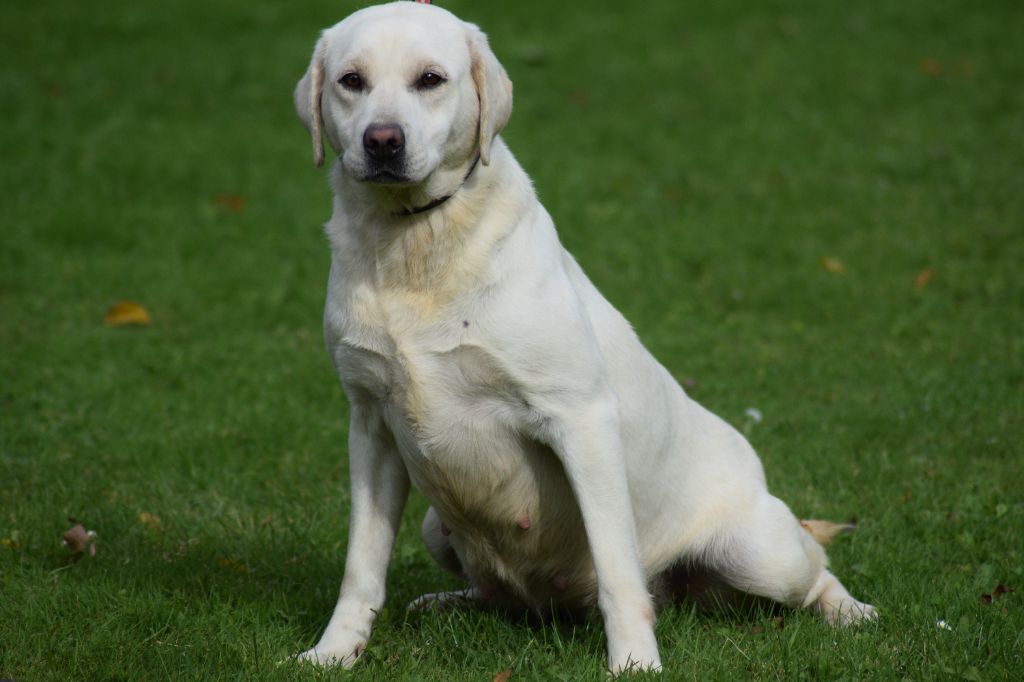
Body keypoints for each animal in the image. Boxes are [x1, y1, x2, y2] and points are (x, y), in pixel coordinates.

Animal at [292, 1, 876, 667]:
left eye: (431, 80)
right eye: (351, 81)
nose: (382, 140)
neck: (416, 245)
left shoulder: (581, 420)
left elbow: (618, 569)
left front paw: (635, 664)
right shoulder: (371, 425)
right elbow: (361, 566)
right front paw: (334, 653)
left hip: (761, 555)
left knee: (814, 570)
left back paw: (851, 612)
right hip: (436, 527)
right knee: (492, 592)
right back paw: (446, 603)